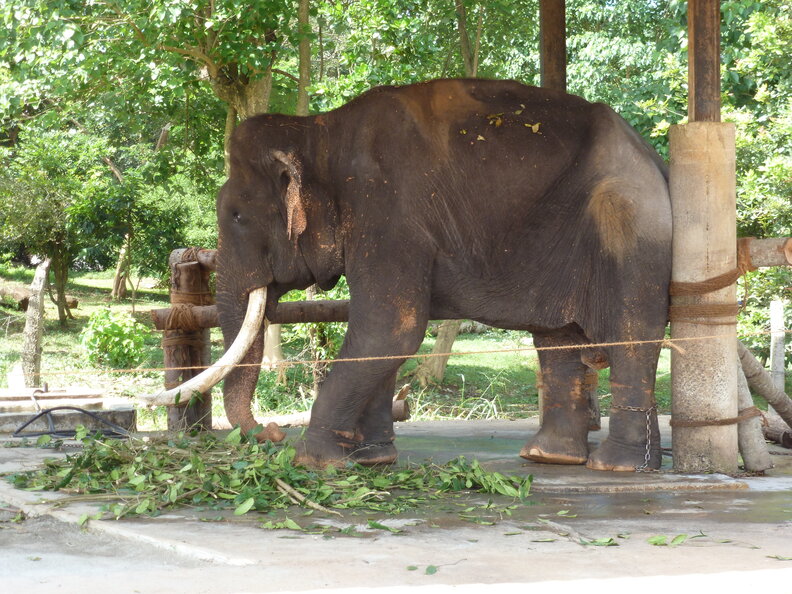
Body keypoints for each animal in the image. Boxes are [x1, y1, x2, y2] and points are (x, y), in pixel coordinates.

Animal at [190, 78, 672, 471]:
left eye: (236, 217)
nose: (272, 431)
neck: (319, 131)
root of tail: (653, 157)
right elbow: (381, 337)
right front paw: (372, 459)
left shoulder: (387, 212)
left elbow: (388, 328)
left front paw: (315, 462)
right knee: (557, 338)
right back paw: (552, 457)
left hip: (629, 227)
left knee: (631, 337)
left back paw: (615, 466)